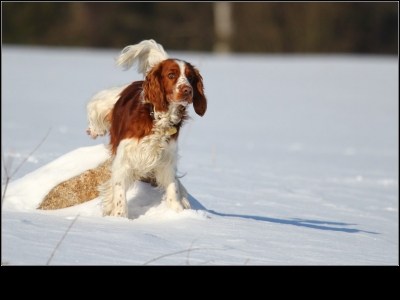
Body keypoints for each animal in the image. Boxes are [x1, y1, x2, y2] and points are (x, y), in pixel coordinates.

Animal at [86, 40, 208, 218]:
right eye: (171, 75)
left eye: (190, 77)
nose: (188, 90)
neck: (158, 117)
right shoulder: (124, 160)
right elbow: (120, 194)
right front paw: (119, 218)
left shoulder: (166, 160)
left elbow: (173, 189)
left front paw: (179, 214)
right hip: (106, 100)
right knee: (94, 109)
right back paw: (94, 129)